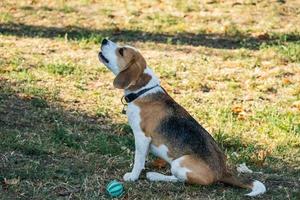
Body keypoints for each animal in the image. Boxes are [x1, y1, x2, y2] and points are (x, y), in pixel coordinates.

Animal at [97, 39, 266, 197]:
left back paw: (155, 176)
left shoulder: (142, 137)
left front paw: (132, 176)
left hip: (180, 162)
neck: (143, 91)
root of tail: (223, 171)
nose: (104, 40)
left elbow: (138, 160)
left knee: (180, 180)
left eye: (121, 51)